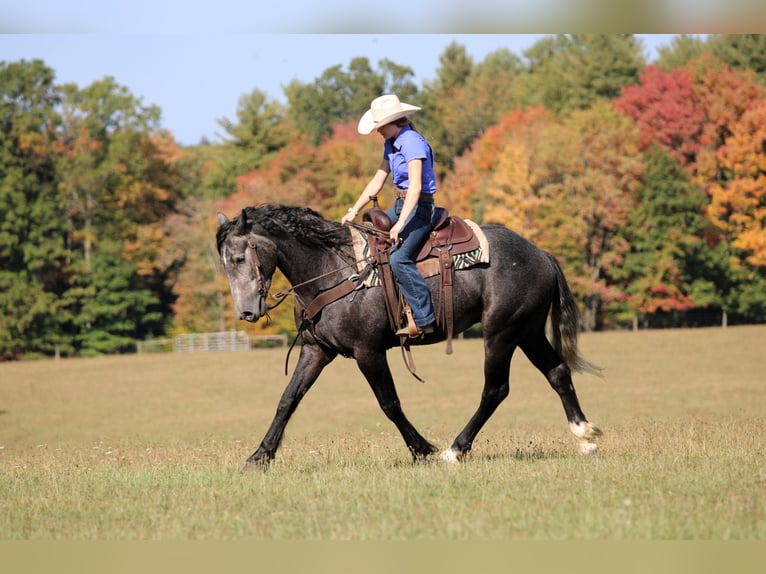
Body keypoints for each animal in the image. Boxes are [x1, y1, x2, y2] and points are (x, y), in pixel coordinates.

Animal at [216, 204, 603, 470]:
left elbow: (390, 403)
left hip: (501, 334)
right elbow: (288, 400)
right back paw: (585, 437)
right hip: (528, 331)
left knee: (495, 390)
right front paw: (259, 456)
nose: (246, 312)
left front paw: (422, 449)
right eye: (226, 262)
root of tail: (541, 254)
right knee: (557, 373)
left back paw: (454, 450)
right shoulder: (316, 350)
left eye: (238, 257)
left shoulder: (368, 351)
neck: (332, 270)